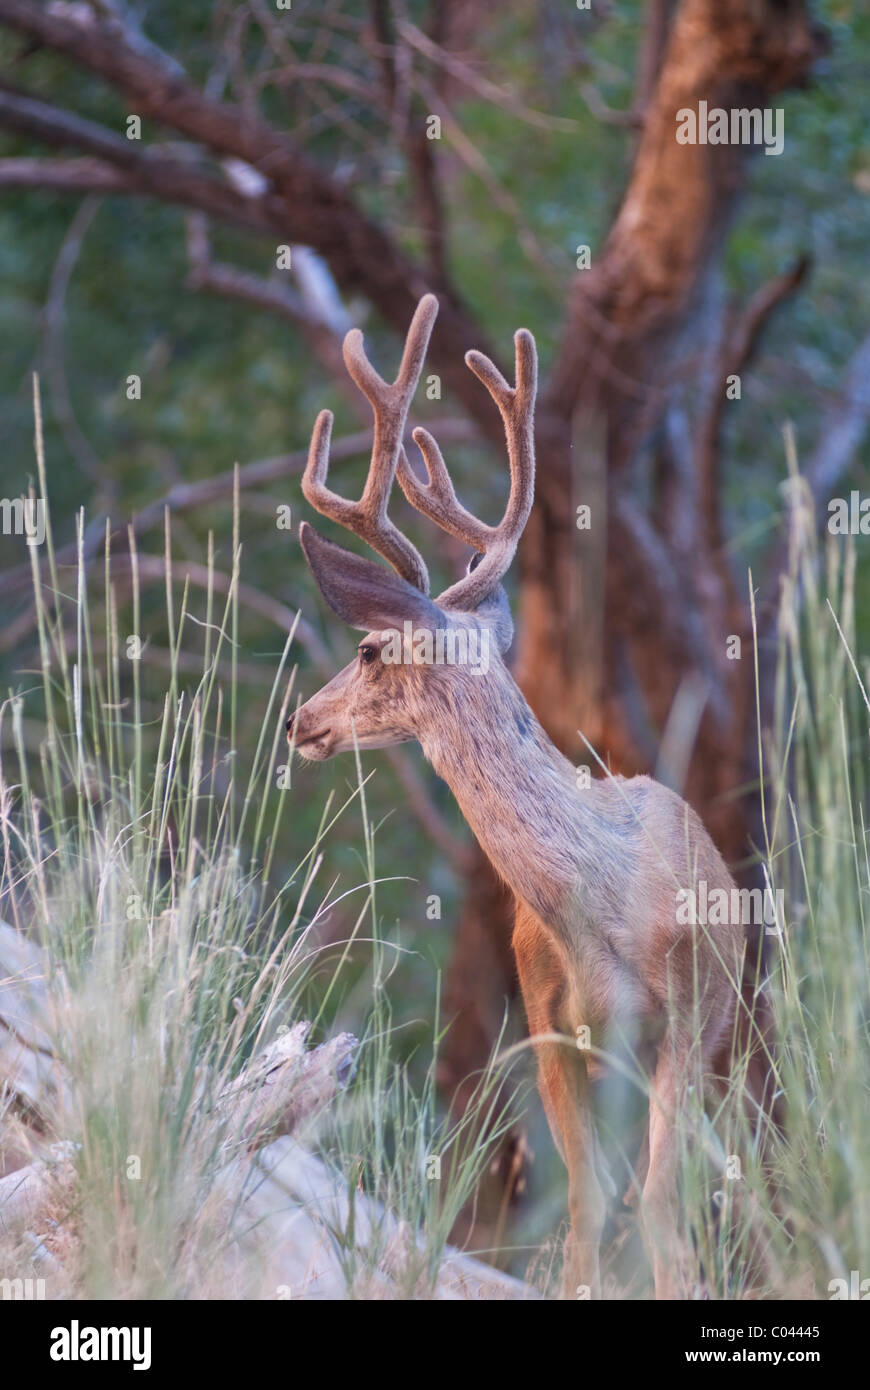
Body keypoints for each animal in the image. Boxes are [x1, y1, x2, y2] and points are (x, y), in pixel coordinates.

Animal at [287, 296, 767, 1301]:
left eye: (369, 649)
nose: (299, 721)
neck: (601, 910)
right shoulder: (551, 1022)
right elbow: (587, 1212)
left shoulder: (685, 1014)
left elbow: (659, 1213)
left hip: (727, 1027)